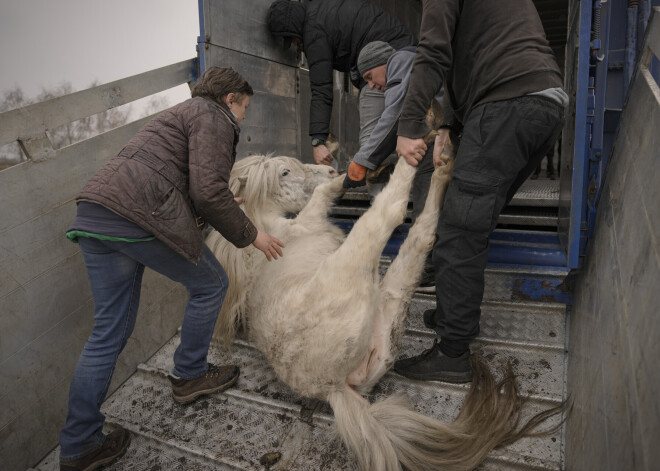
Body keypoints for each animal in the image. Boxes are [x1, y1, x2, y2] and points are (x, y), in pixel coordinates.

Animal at [206, 153, 556, 470]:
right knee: (392, 212)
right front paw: (341, 180)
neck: (268, 232)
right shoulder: (309, 219)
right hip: (358, 255)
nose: (331, 169)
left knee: (418, 240)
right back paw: (418, 156)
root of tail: (330, 386)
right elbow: (321, 196)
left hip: (388, 312)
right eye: (285, 171)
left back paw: (440, 164)